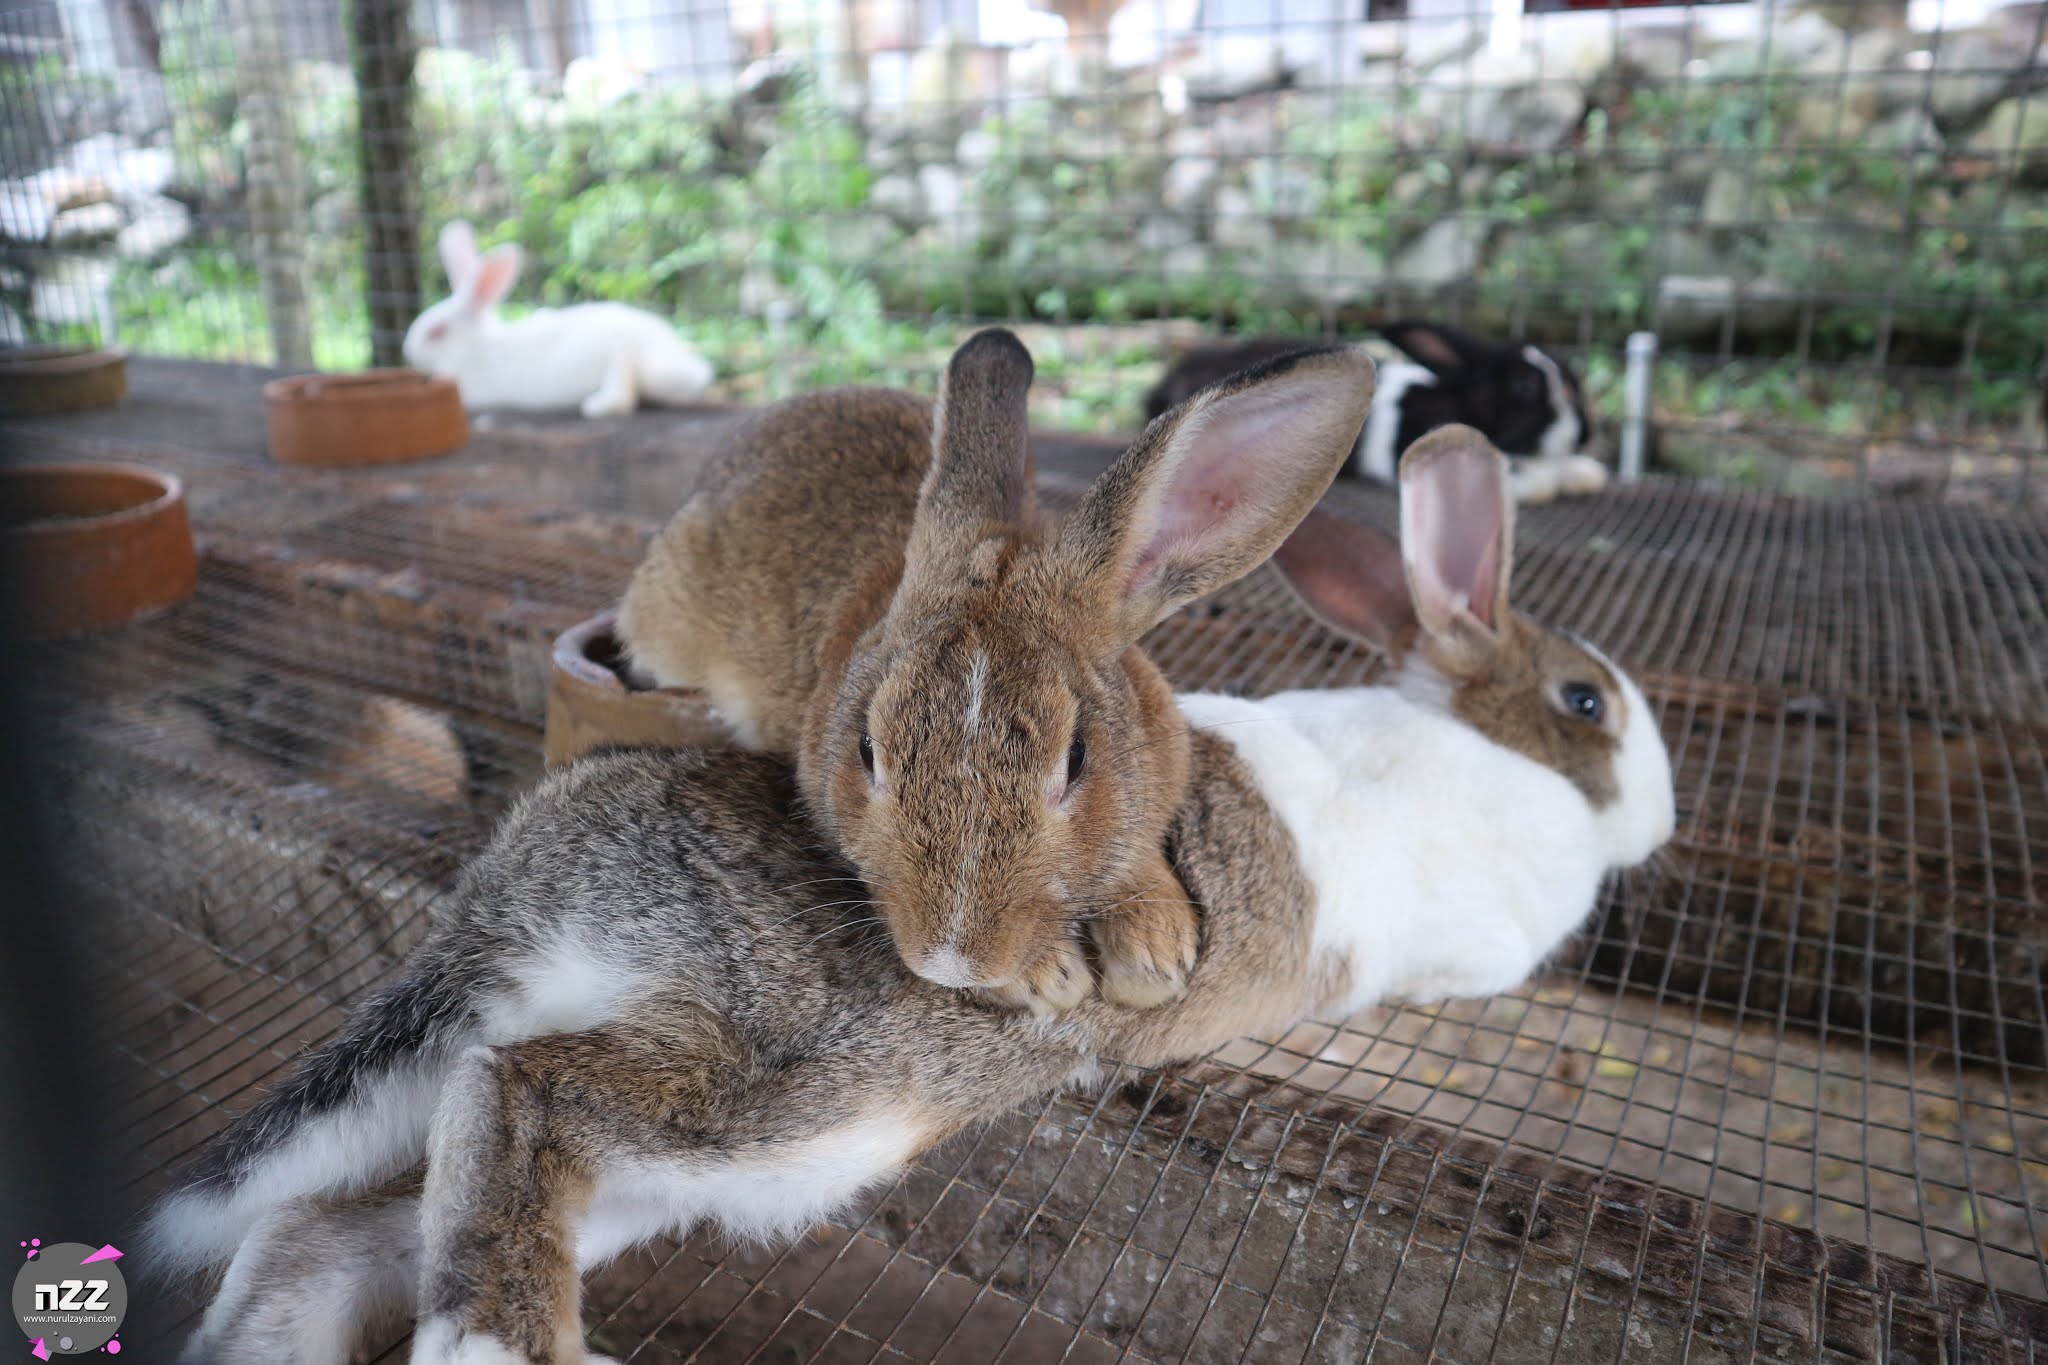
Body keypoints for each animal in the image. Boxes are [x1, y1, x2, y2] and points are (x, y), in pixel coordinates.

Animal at [146, 427, 1676, 1365]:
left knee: (329, 1229)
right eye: (1588, 702)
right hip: (786, 1096)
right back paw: (509, 1347)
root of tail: (515, 896)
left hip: (654, 1177)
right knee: (514, 1088)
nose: (1662, 815)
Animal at [400, 221, 714, 419]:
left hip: (645, 369)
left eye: (436, 332)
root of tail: (672, 348)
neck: (474, 344)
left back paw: (598, 405)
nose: (407, 351)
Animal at [1144, 322, 1607, 505]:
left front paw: (1586, 474)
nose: (1583, 435)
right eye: (1524, 387)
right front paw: (1552, 481)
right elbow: (1525, 476)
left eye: (1572, 378)